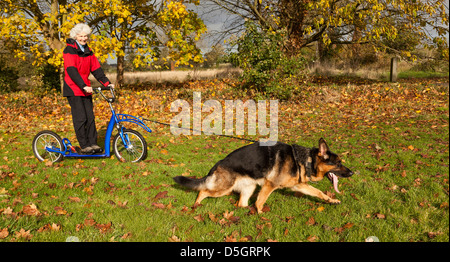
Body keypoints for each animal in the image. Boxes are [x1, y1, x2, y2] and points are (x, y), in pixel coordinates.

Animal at [174, 138, 354, 214]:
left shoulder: (299, 185)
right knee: (203, 190)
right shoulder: (270, 185)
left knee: (241, 204)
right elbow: (261, 201)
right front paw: (261, 214)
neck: (305, 159)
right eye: (338, 163)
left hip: (249, 187)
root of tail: (218, 163)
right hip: (224, 188)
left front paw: (332, 200)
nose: (352, 173)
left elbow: (319, 193)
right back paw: (197, 204)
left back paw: (246, 211)